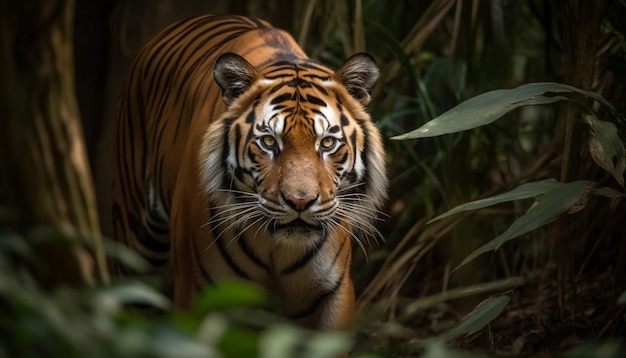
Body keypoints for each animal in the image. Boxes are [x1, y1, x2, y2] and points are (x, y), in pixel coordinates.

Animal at [112, 14, 386, 330]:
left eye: (327, 142)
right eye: (268, 142)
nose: (300, 202)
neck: (276, 248)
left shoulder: (334, 292)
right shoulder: (197, 292)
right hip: (135, 239)